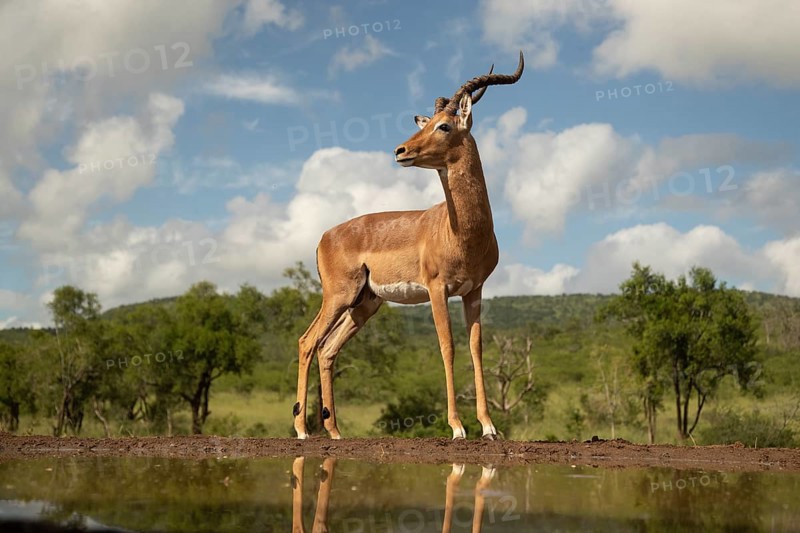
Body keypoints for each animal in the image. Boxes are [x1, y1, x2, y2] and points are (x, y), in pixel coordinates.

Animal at [293, 52, 525, 440]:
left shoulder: (474, 290)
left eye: (444, 126)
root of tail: (325, 235)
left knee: (327, 349)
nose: (401, 150)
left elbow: (476, 349)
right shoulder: (436, 288)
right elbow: (447, 347)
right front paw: (457, 427)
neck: (461, 233)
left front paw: (489, 427)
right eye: (429, 122)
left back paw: (335, 432)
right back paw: (301, 430)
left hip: (365, 304)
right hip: (339, 295)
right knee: (308, 341)